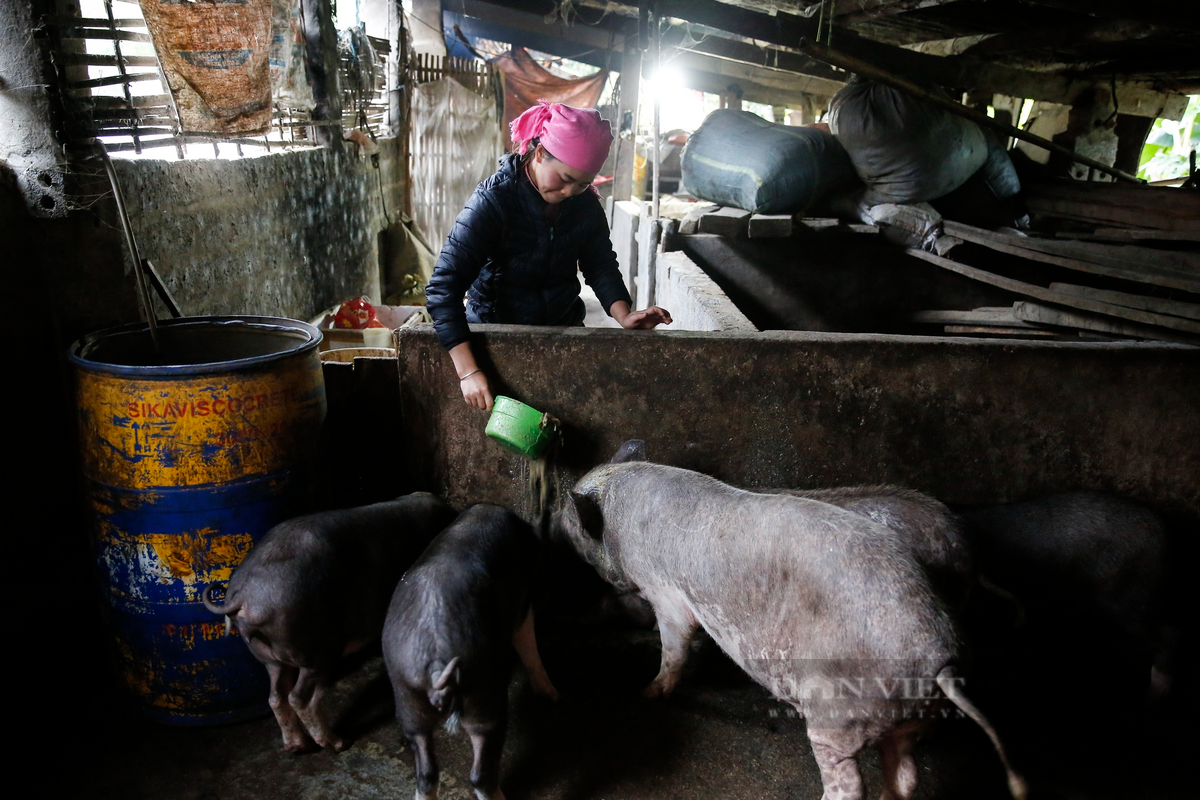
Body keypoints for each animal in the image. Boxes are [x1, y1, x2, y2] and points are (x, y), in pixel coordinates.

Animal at [201, 491, 453, 753]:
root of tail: (243, 596)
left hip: (269, 657)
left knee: (276, 697)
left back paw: (296, 747)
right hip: (316, 652)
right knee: (300, 698)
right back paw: (339, 743)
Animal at [384, 506, 556, 800]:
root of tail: (437, 657)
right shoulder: (523, 602)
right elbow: (527, 642)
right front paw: (552, 696)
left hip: (406, 693)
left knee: (426, 771)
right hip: (483, 686)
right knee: (480, 772)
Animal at [552, 443, 1022, 800]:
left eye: (572, 522)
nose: (552, 517)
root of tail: (942, 664)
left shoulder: (664, 591)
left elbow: (673, 644)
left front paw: (646, 693)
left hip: (837, 712)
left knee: (848, 782)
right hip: (908, 719)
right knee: (906, 777)